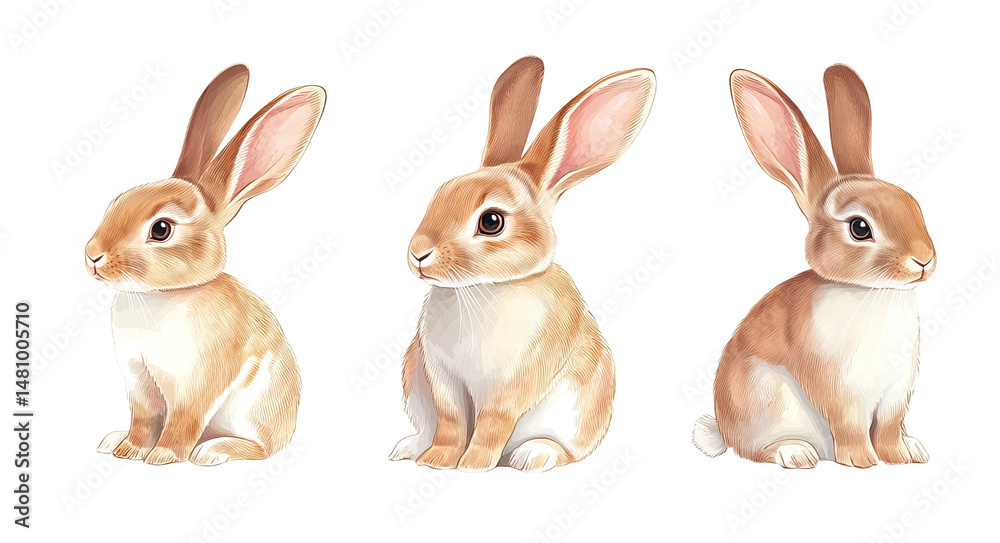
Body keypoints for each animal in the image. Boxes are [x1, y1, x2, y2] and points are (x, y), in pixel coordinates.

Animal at [84, 64, 326, 465]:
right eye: (115, 202)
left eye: (161, 229)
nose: (92, 257)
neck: (167, 293)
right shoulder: (138, 381)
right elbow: (143, 420)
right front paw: (129, 449)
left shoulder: (198, 382)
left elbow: (184, 420)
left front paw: (162, 456)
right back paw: (113, 439)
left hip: (252, 411)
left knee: (259, 449)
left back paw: (211, 451)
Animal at [388, 56, 656, 472]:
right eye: (439, 193)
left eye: (491, 221)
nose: (418, 253)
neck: (482, 289)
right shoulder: (442, 380)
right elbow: (452, 423)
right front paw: (437, 461)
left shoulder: (514, 383)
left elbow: (492, 424)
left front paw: (473, 465)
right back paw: (410, 447)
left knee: (563, 451)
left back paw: (532, 456)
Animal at [692, 65, 936, 469]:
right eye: (860, 228)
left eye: (913, 204)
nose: (925, 260)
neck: (870, 292)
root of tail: (722, 431)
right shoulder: (839, 392)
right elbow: (851, 428)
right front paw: (861, 462)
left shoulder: (895, 395)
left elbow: (887, 429)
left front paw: (902, 456)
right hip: (768, 402)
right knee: (756, 451)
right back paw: (796, 454)